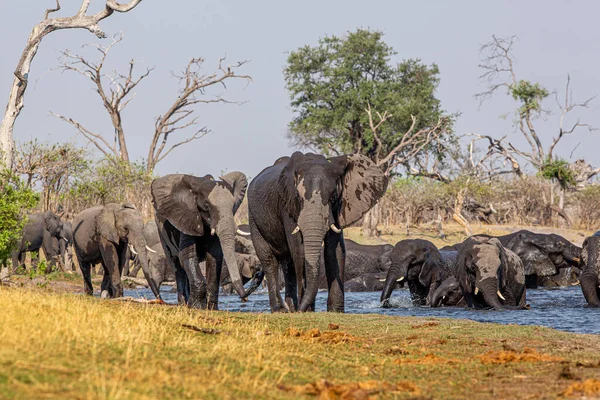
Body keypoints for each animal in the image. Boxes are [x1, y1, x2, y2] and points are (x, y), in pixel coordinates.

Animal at [155, 170, 251, 308]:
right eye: (206, 206)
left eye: (233, 205)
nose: (245, 298)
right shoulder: (187, 218)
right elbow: (188, 256)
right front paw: (196, 307)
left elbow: (215, 257)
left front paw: (211, 308)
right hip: (161, 233)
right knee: (177, 266)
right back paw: (183, 304)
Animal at [250, 153, 390, 312]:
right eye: (298, 197)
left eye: (334, 197)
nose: (301, 310)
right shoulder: (287, 206)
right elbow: (299, 250)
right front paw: (307, 311)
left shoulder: (338, 209)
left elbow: (335, 250)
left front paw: (335, 311)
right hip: (253, 219)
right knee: (269, 261)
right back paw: (281, 310)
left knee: (288, 264)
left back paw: (291, 308)